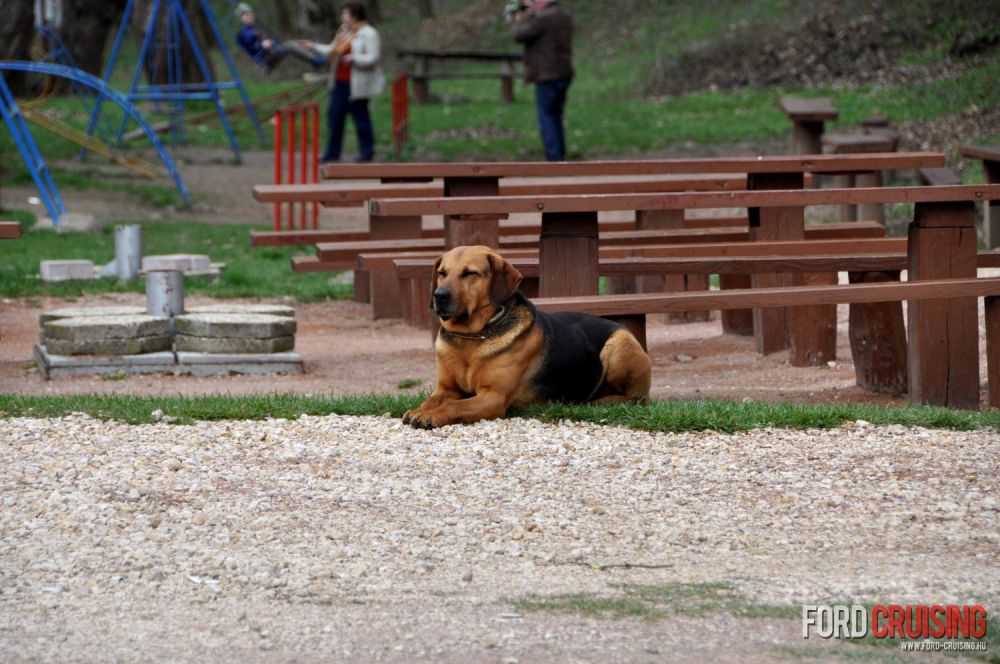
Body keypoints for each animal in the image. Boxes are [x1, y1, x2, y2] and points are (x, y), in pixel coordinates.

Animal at [402, 245, 652, 430]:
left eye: (469, 273)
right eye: (442, 273)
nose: (439, 296)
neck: (472, 336)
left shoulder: (493, 397)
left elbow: (454, 406)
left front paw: (432, 416)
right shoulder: (445, 388)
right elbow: (432, 400)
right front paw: (420, 410)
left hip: (619, 345)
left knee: (636, 400)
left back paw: (595, 402)